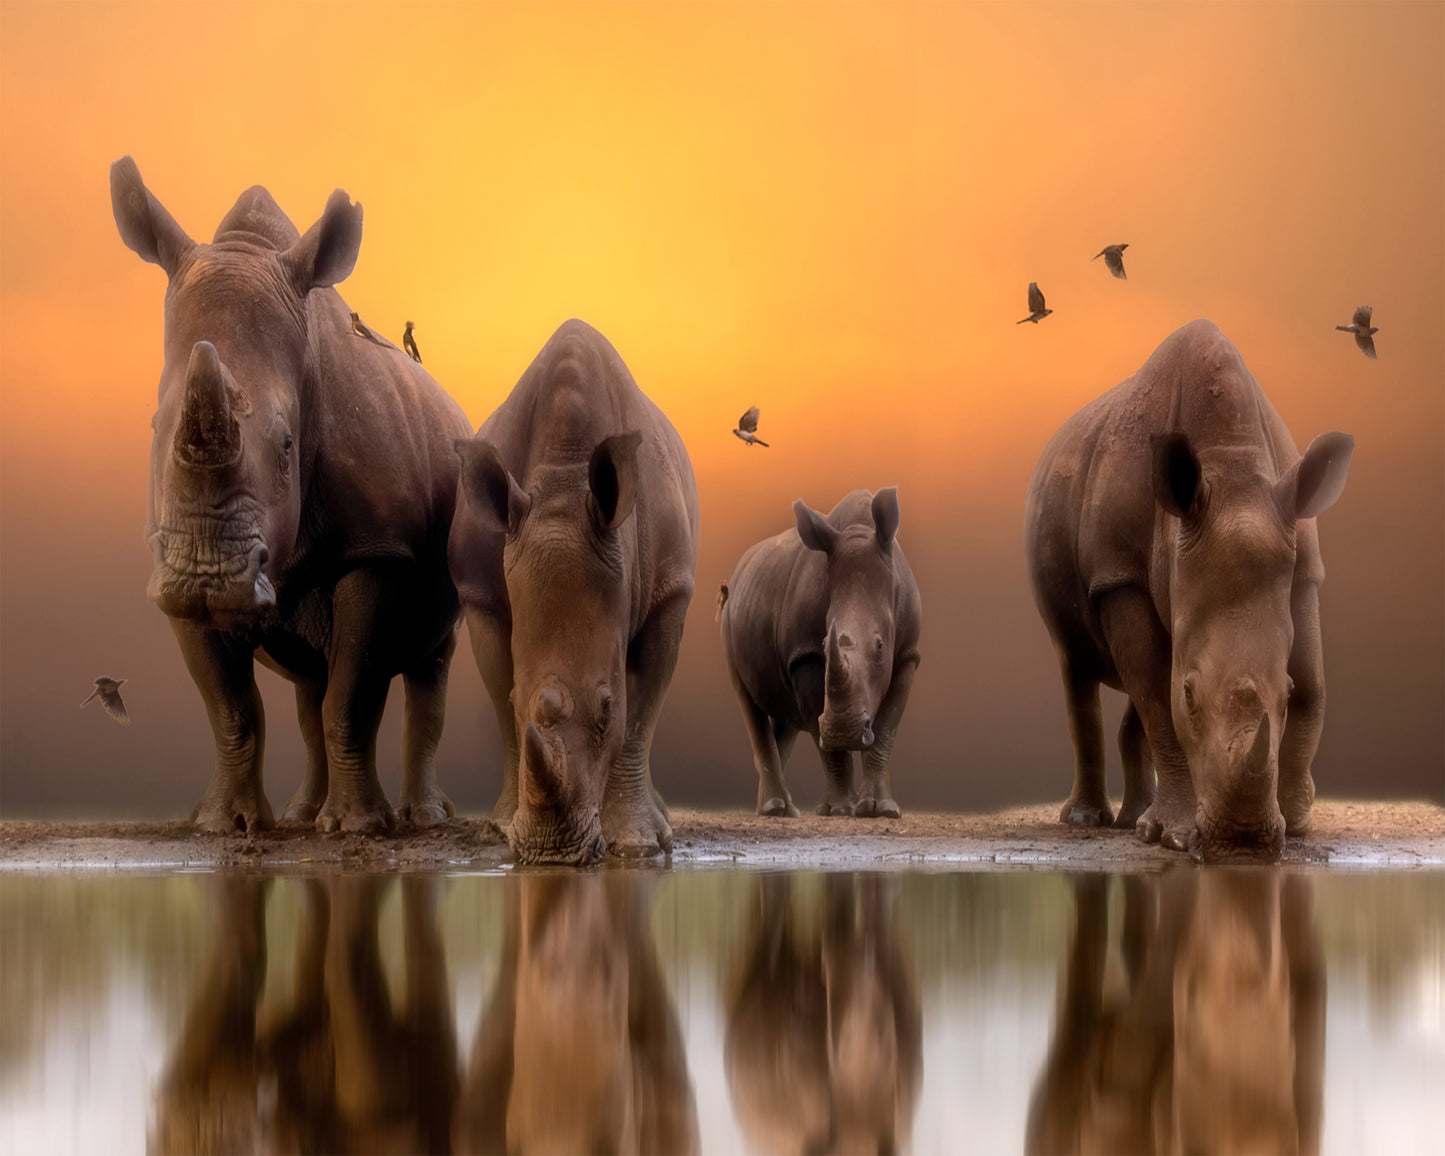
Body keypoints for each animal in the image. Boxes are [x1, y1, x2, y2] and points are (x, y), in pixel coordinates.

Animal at [111, 157, 471, 834]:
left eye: (285, 445)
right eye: (152, 428)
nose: (208, 580)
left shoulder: (376, 548)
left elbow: (351, 698)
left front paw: (359, 828)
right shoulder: (166, 568)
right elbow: (231, 709)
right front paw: (224, 825)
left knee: (427, 665)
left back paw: (423, 819)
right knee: (310, 684)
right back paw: (302, 818)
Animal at [448, 320, 699, 864]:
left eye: (606, 709)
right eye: (519, 700)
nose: (551, 853)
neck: (563, 476)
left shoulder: (672, 591)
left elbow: (640, 715)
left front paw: (638, 843)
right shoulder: (480, 596)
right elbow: (503, 708)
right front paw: (503, 827)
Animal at [720, 490, 922, 818]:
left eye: (880, 646)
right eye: (825, 645)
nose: (844, 732)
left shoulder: (907, 655)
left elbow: (886, 729)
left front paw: (882, 809)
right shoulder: (807, 655)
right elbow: (821, 729)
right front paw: (840, 809)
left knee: (786, 713)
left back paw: (782, 809)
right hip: (728, 617)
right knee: (747, 698)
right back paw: (775, 809)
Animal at [1025, 319, 1354, 862]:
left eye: (1283, 697)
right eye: (1191, 694)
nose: (1243, 845)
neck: (1231, 468)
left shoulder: (1304, 569)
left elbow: (1313, 683)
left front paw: (1297, 823)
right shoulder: (1120, 577)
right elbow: (1160, 697)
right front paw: (1174, 836)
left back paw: (1133, 821)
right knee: (1077, 666)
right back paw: (1089, 821)